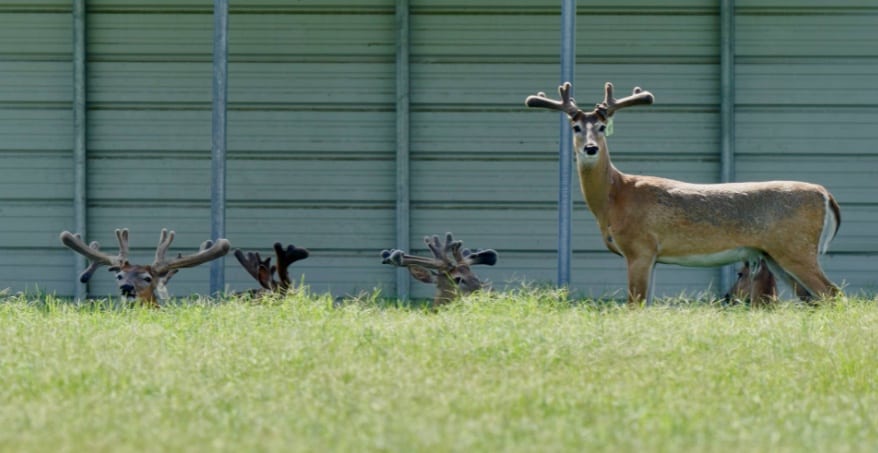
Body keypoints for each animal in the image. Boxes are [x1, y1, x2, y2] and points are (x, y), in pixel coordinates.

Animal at [525, 81, 841, 307]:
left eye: (602, 127)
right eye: (576, 127)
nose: (590, 148)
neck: (615, 197)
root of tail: (825, 195)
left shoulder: (640, 247)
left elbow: (634, 305)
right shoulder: (652, 256)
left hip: (796, 246)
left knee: (832, 293)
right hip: (776, 253)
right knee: (813, 298)